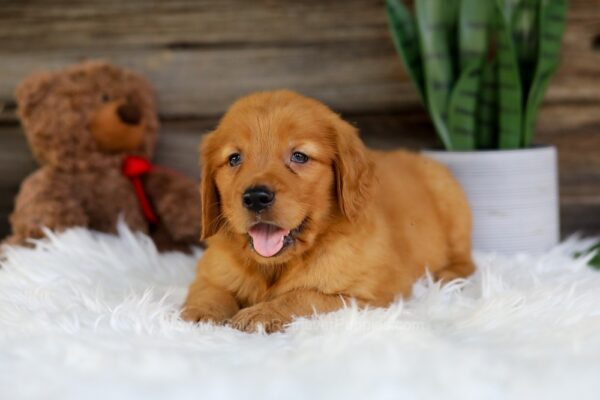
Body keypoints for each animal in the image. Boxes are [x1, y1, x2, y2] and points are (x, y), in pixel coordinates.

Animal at [183, 90, 474, 332]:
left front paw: (261, 313)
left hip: (451, 200)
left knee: (465, 257)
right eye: (234, 159)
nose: (255, 198)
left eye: (299, 156)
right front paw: (199, 314)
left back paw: (448, 275)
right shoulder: (211, 270)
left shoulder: (366, 297)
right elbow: (209, 290)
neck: (275, 267)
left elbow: (303, 296)